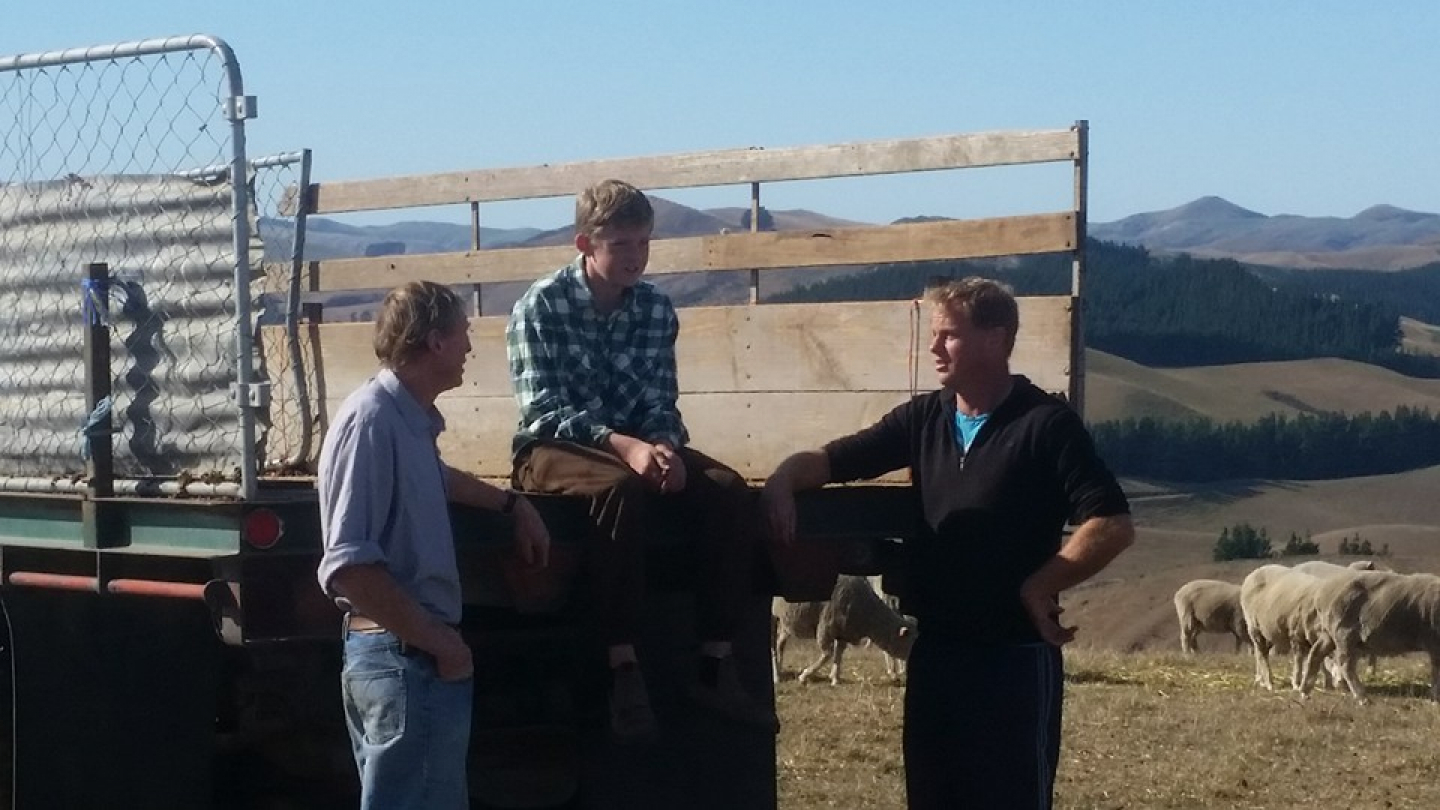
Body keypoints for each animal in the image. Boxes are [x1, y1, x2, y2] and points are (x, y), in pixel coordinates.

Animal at [771, 570, 915, 683]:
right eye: (908, 643)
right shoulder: (826, 626)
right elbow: (827, 654)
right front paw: (804, 675)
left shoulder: (843, 631)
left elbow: (838, 653)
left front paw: (835, 678)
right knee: (773, 648)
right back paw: (776, 677)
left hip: (784, 621)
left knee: (780, 645)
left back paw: (779, 670)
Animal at [1307, 567, 1440, 700]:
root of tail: (1320, 595)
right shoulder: (1434, 642)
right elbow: (1436, 670)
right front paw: (1435, 696)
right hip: (1343, 634)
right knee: (1345, 664)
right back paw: (1361, 697)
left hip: (1329, 634)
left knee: (1316, 653)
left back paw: (1305, 690)